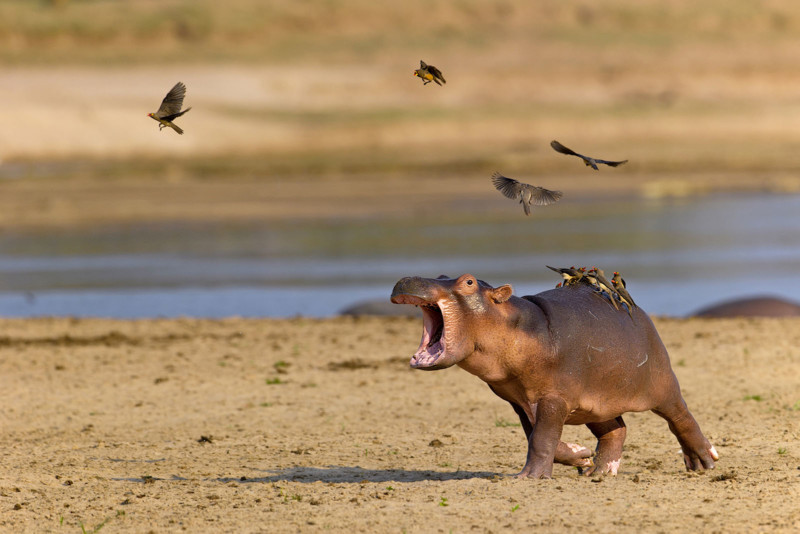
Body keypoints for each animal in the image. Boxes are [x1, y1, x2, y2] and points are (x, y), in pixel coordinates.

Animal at [390, 274, 720, 480]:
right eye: (441, 273)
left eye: (468, 282)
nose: (408, 278)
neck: (514, 323)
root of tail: (639, 311)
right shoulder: (520, 400)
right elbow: (538, 436)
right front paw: (581, 455)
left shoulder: (553, 398)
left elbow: (542, 438)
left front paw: (529, 477)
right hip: (595, 403)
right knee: (615, 430)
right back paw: (599, 472)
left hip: (663, 384)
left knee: (681, 417)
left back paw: (703, 461)